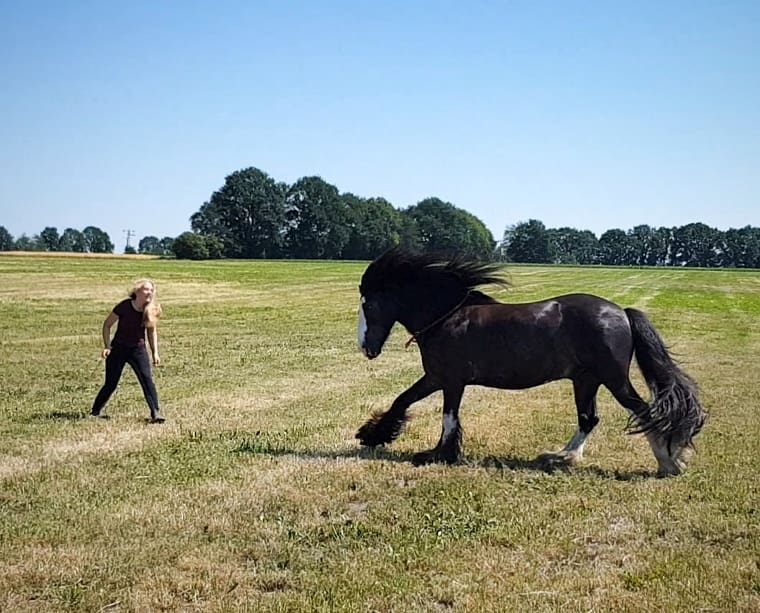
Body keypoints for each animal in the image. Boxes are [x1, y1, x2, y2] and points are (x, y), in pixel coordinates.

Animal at [356, 246, 708, 476]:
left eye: (368, 304)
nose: (365, 348)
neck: (448, 317)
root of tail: (621, 312)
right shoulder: (437, 378)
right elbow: (403, 400)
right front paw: (372, 435)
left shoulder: (450, 381)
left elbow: (446, 418)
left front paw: (438, 454)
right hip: (586, 380)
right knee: (589, 419)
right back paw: (561, 458)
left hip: (613, 378)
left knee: (645, 412)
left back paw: (669, 462)